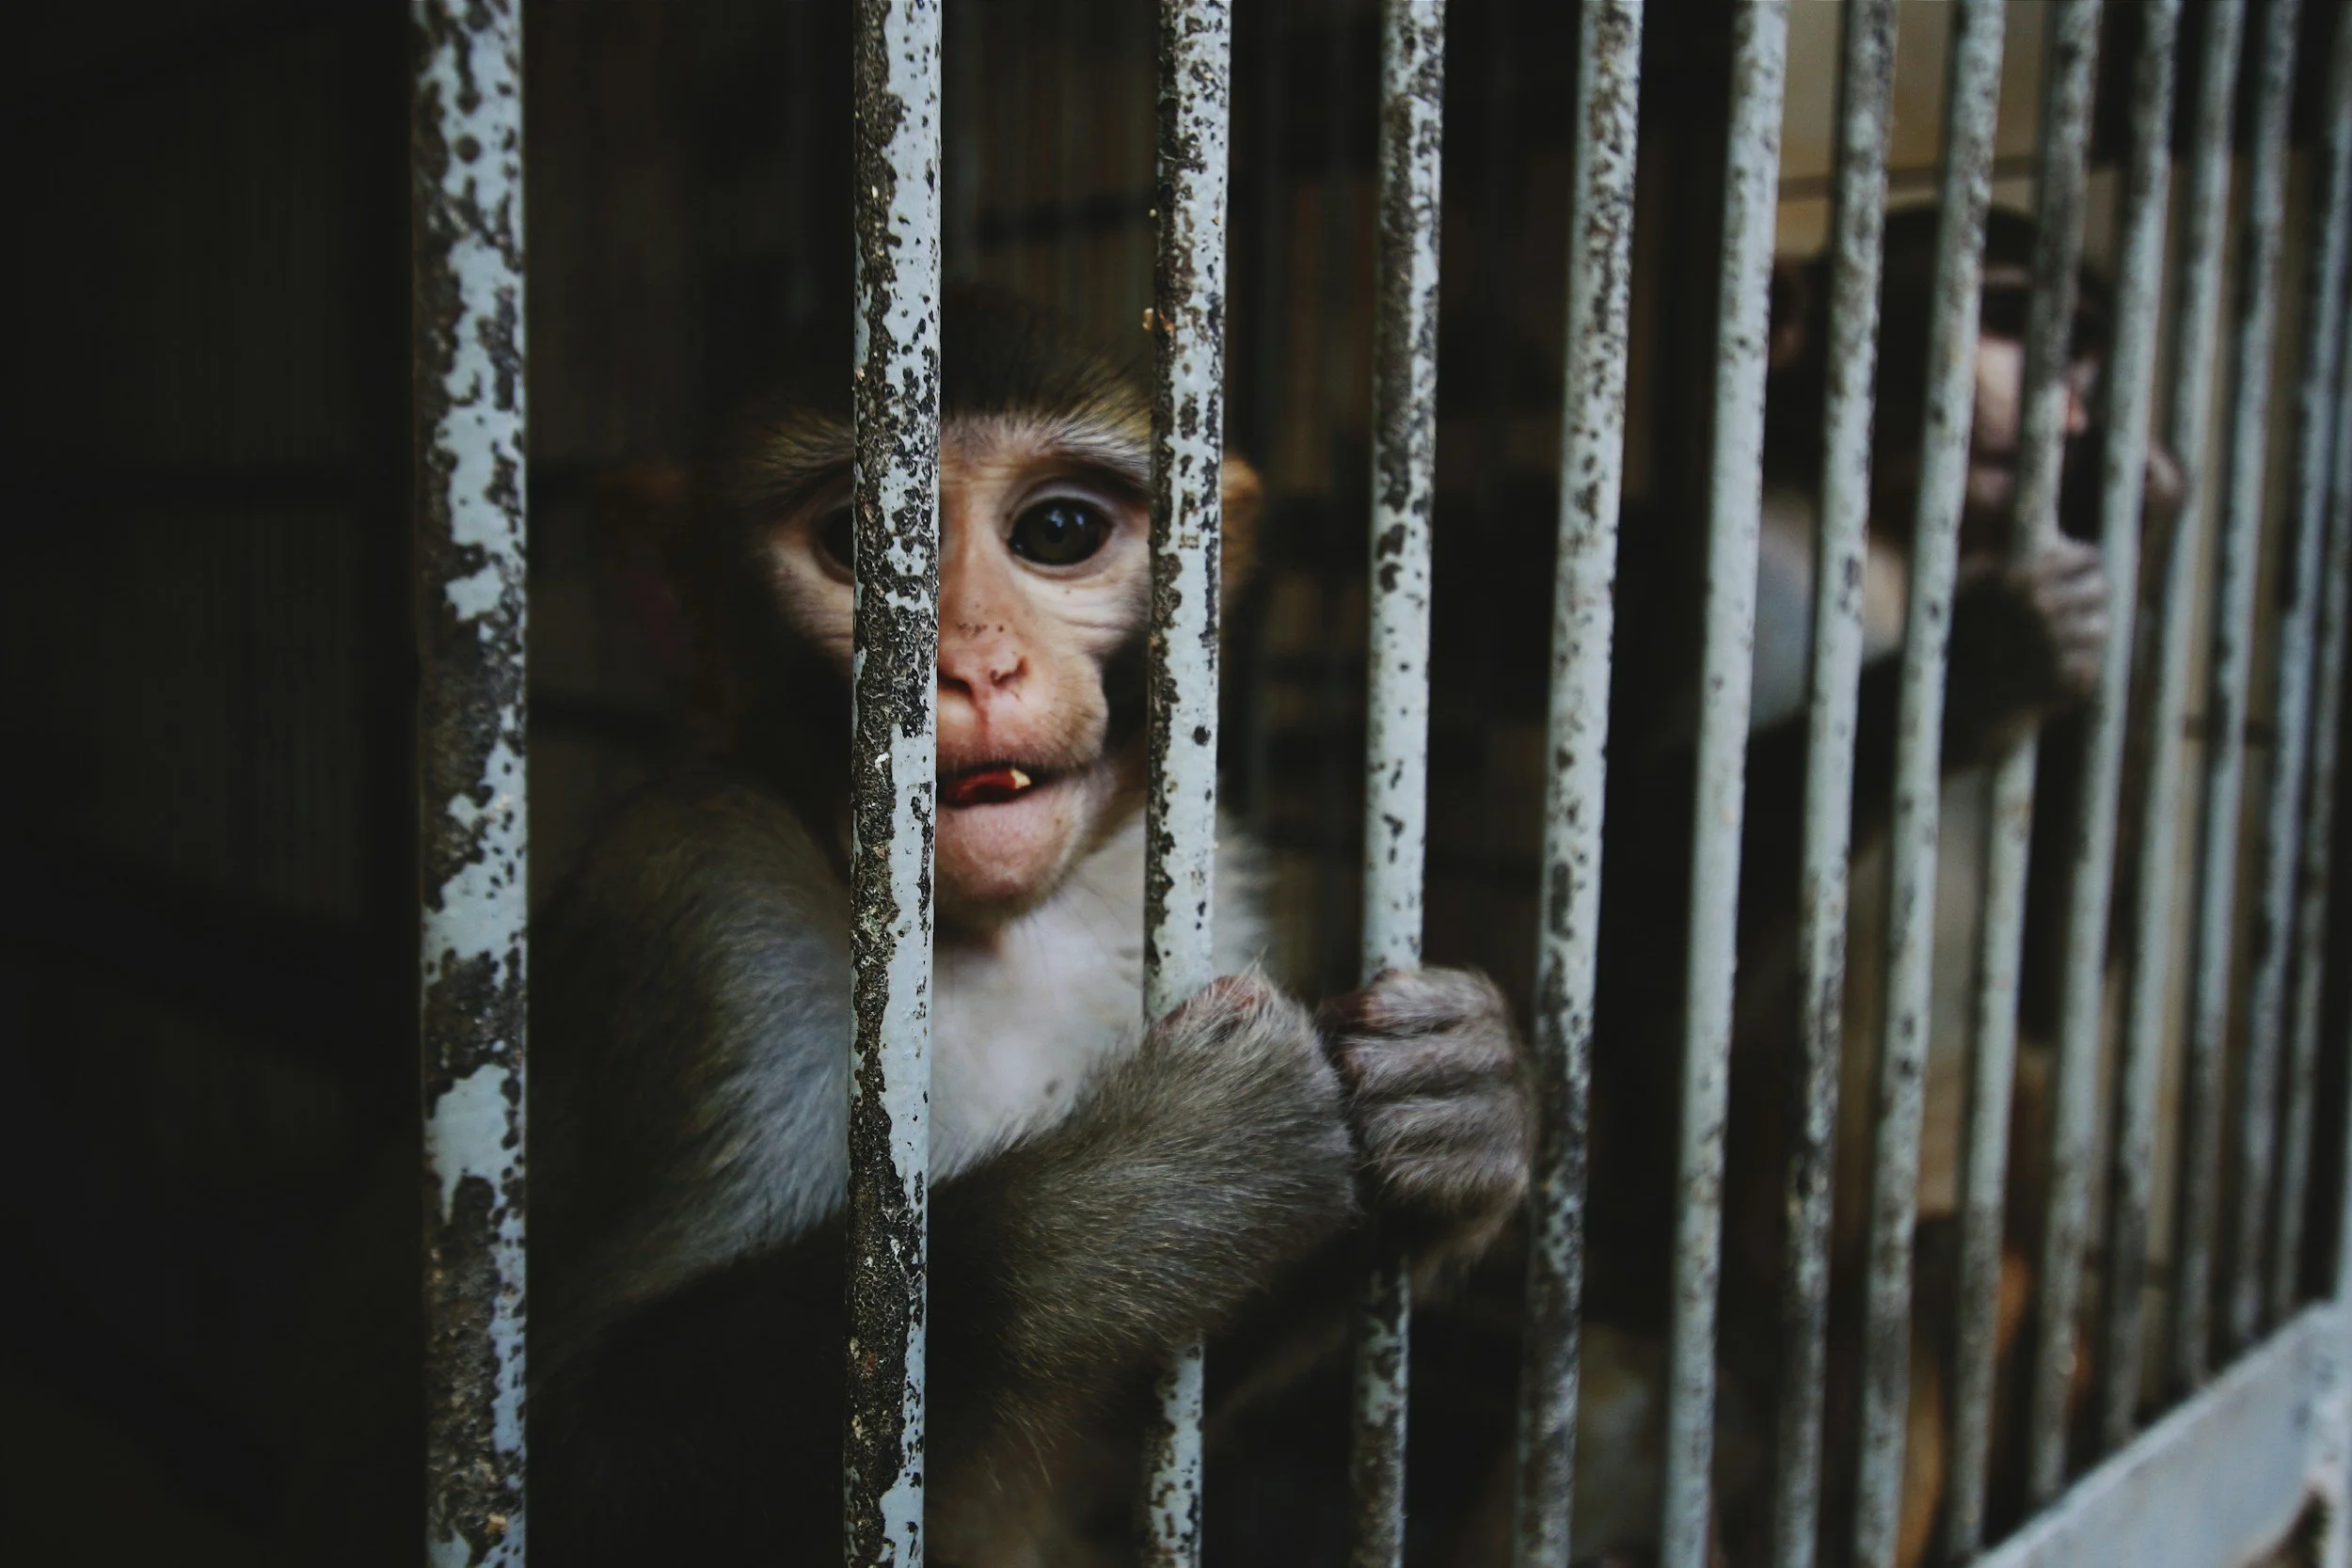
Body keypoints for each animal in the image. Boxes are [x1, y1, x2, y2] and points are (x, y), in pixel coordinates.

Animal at [527, 288, 1535, 1568]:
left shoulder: (1225, 886)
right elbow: (575, 1451)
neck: (983, 942)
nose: (970, 664)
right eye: (857, 541)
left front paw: (1465, 1096)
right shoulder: (703, 906)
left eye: (1058, 531)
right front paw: (1148, 1184)